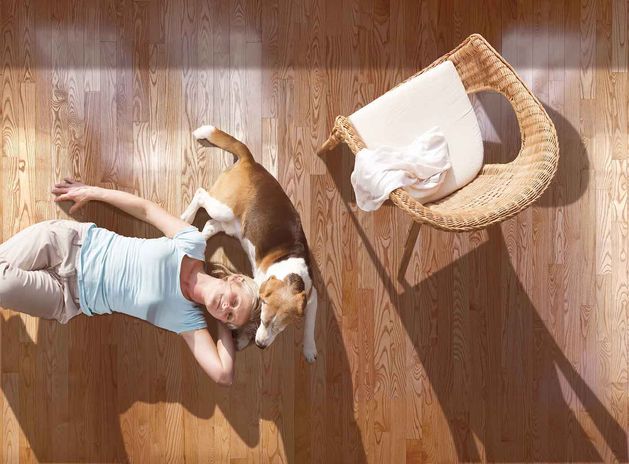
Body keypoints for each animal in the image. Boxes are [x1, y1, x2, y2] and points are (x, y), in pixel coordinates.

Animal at [180, 125, 318, 363]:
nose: (261, 346)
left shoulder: (312, 297)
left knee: (209, 225)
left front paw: (309, 349)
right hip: (222, 207)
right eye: (263, 319)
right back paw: (187, 217)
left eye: (281, 328)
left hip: (230, 225)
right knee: (200, 194)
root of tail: (249, 161)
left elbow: (310, 324)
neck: (291, 274)